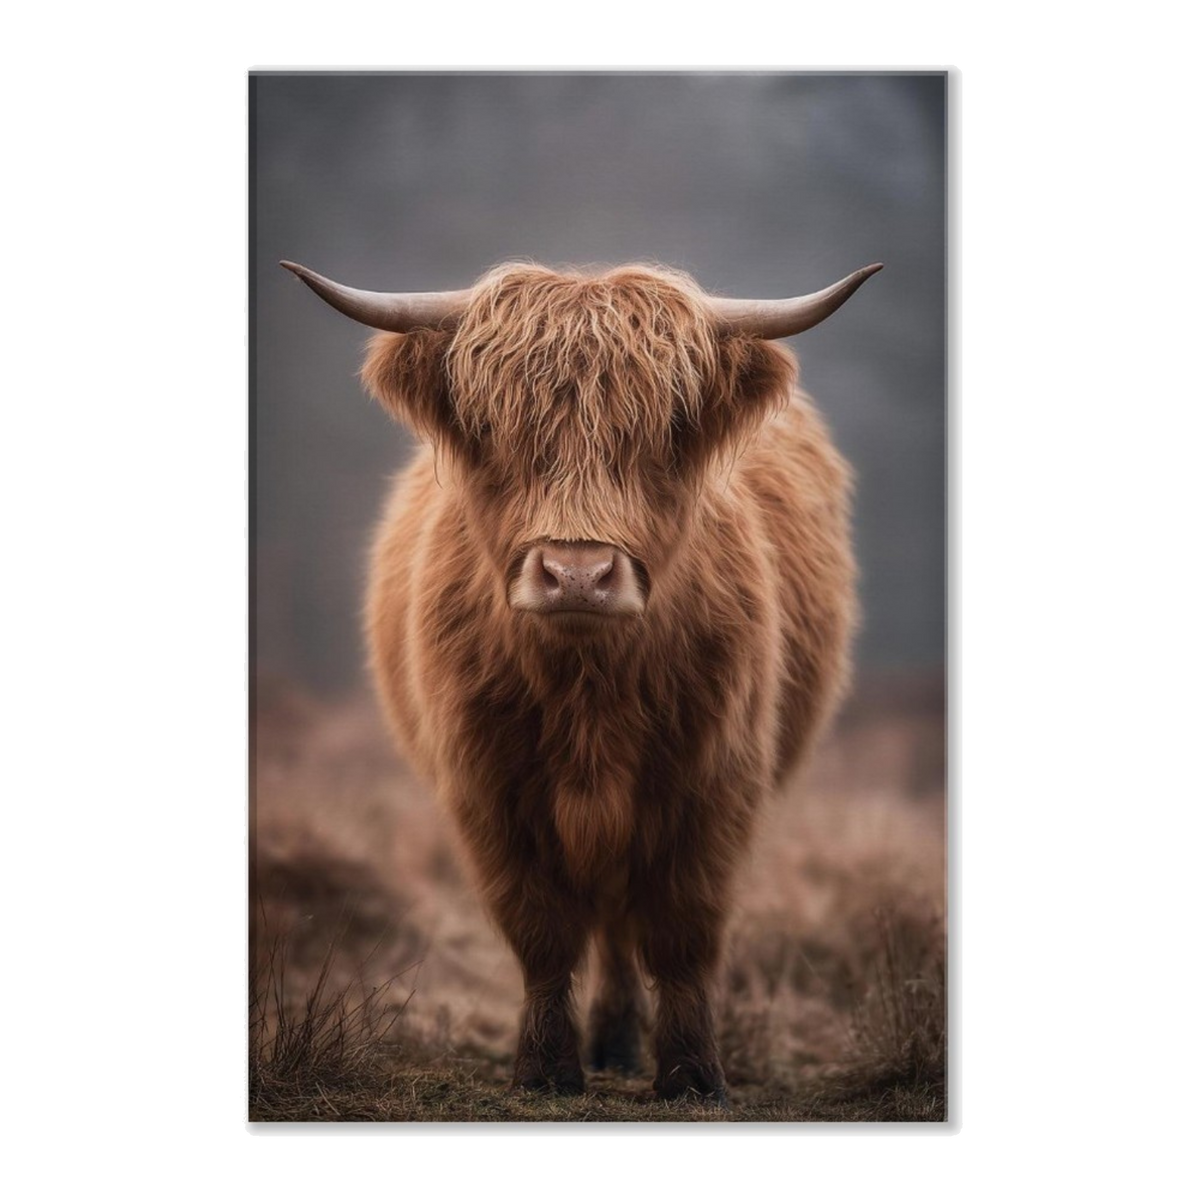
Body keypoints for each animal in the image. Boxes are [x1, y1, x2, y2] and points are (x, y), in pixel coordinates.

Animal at [281, 258, 879, 1104]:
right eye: (495, 429)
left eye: (667, 431)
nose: (577, 575)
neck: (589, 692)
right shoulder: (489, 790)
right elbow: (541, 931)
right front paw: (544, 1069)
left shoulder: (714, 784)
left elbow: (682, 931)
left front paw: (692, 1075)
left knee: (625, 922)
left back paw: (622, 1044)